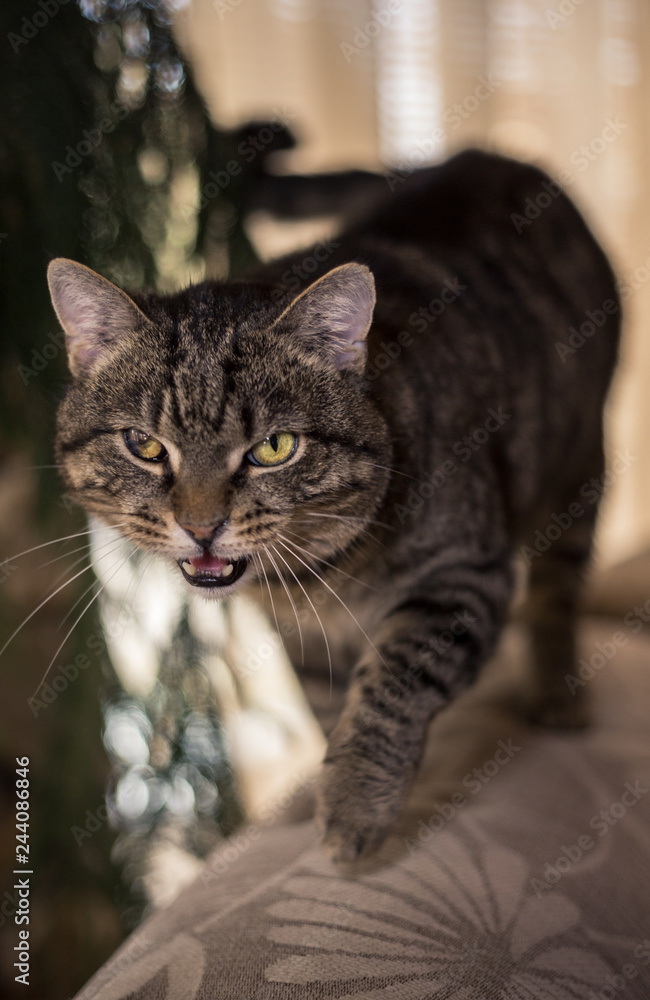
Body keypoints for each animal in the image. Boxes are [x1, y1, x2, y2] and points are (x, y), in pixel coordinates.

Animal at [46, 146, 616, 860]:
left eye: (274, 447)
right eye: (144, 445)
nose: (201, 526)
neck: (319, 578)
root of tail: (478, 154)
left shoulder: (461, 576)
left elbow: (391, 688)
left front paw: (352, 807)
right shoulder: (301, 638)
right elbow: (325, 706)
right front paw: (319, 790)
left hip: (580, 471)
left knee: (556, 594)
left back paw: (557, 693)